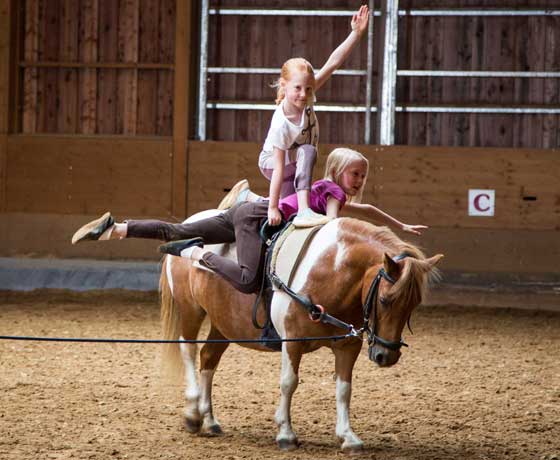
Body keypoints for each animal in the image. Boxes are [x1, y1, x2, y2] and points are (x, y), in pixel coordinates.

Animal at [159, 215, 442, 452]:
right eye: (385, 300)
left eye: (414, 304)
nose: (386, 355)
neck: (330, 270)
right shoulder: (292, 342)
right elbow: (289, 383)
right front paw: (286, 434)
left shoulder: (347, 346)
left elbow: (344, 388)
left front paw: (348, 436)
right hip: (191, 310)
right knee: (189, 350)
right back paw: (193, 414)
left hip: (223, 324)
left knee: (208, 358)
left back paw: (209, 420)